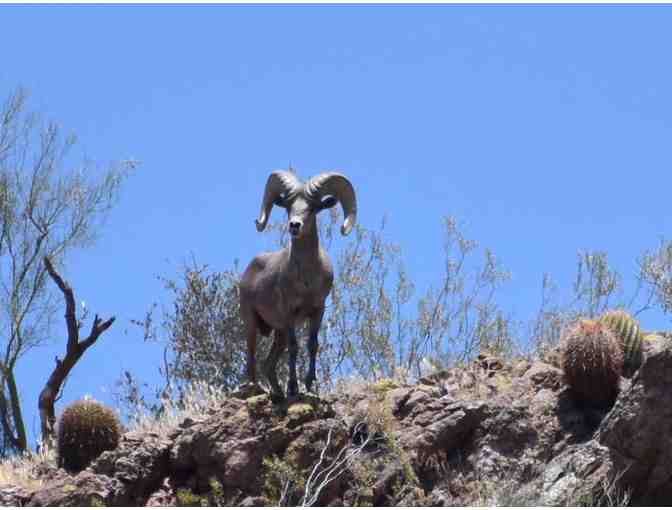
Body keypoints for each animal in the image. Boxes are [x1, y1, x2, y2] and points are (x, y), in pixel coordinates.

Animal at [240, 171, 356, 398]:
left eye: (312, 208)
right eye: (288, 207)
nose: (294, 225)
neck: (306, 281)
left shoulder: (317, 311)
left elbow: (312, 345)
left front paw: (310, 384)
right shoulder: (288, 313)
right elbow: (295, 348)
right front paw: (293, 387)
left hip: (279, 334)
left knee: (268, 364)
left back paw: (277, 393)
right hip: (252, 323)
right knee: (251, 356)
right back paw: (255, 388)